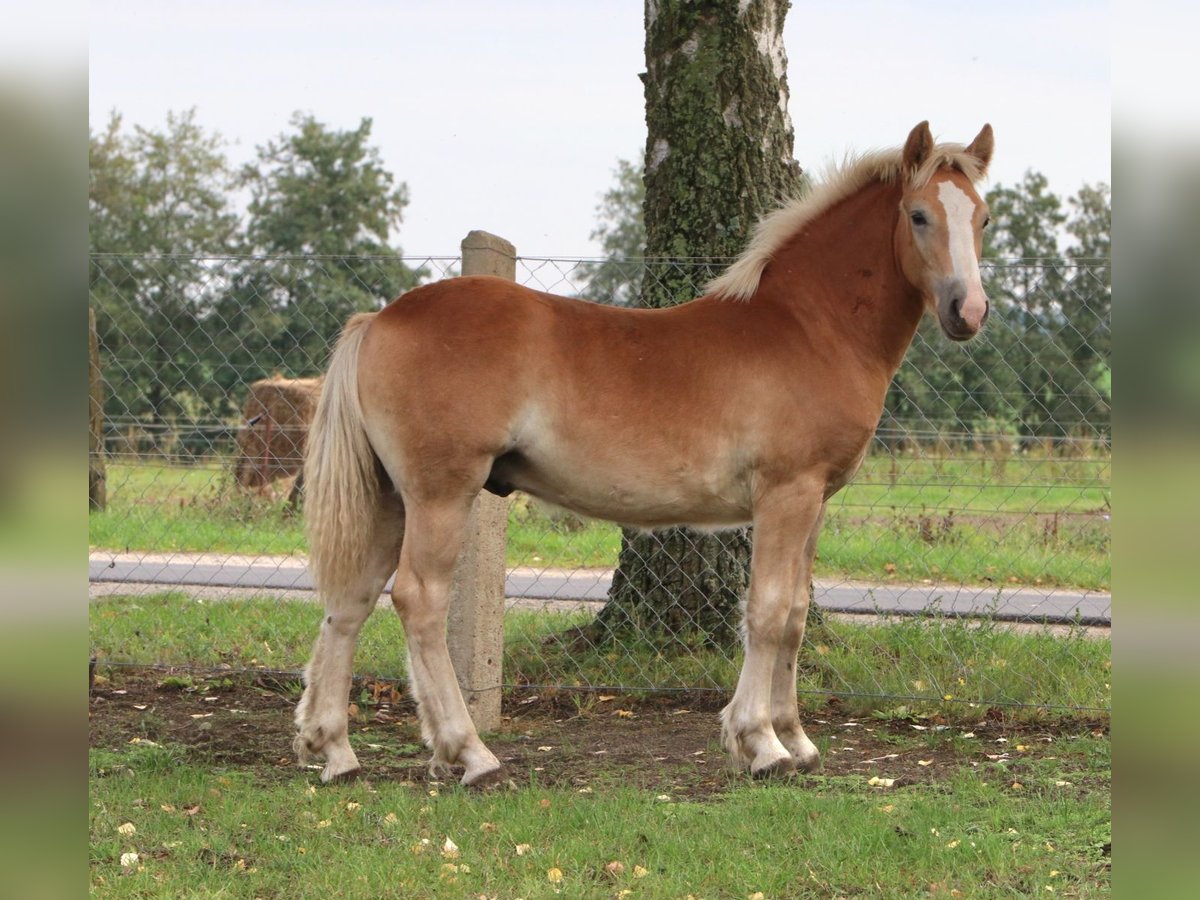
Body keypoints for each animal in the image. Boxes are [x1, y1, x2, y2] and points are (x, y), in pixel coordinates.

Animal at [292, 121, 993, 787]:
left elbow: (794, 614)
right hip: (441, 493)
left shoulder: (815, 501)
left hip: (392, 497)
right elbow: (766, 613)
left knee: (351, 600)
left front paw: (796, 740)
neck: (807, 327)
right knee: (419, 600)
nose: (969, 311)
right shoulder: (786, 494)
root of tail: (379, 321)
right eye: (919, 214)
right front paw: (760, 744)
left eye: (982, 218)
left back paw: (335, 750)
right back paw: (470, 754)